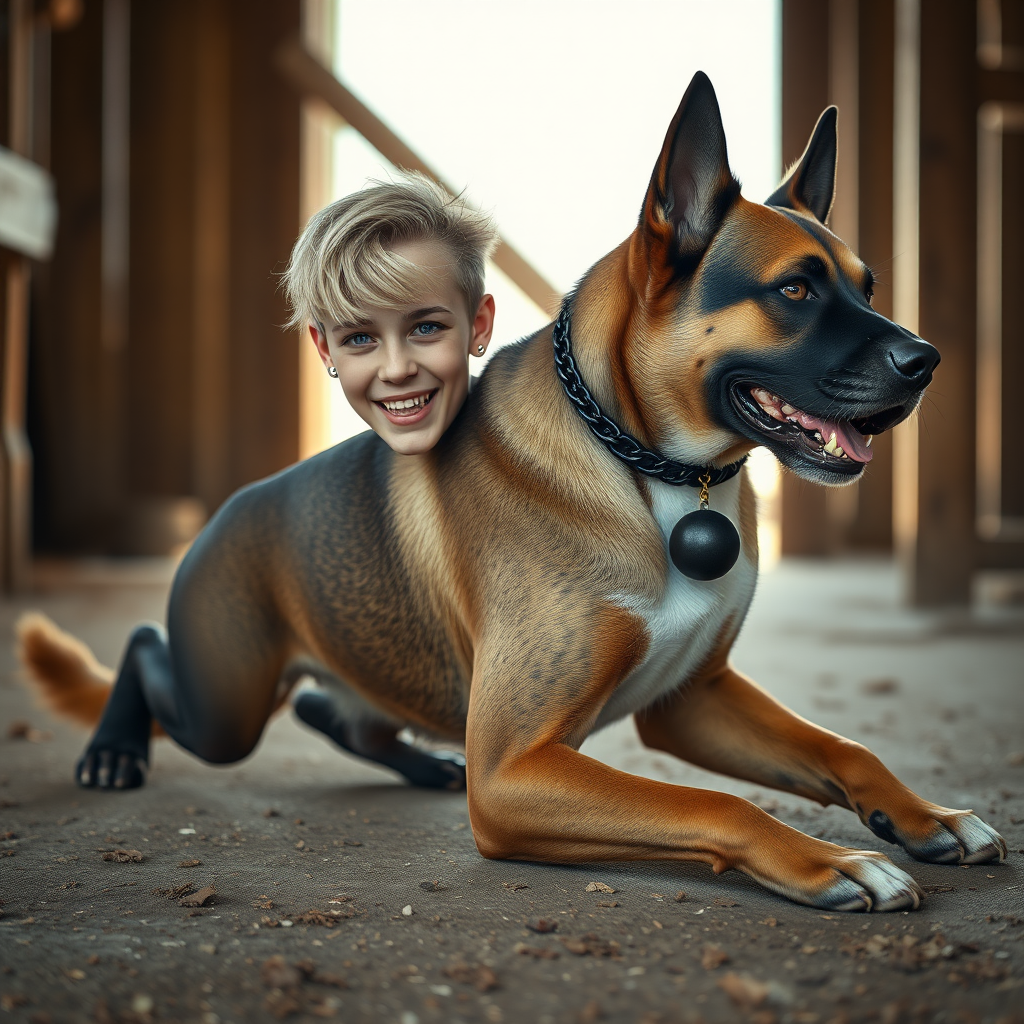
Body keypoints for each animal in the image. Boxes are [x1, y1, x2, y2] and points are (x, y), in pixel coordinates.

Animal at [18, 74, 1007, 913]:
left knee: (331, 709)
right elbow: (716, 807)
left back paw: (417, 762)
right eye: (795, 290)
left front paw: (923, 816)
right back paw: (112, 749)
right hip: (223, 703)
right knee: (149, 651)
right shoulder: (513, 772)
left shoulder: (693, 699)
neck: (644, 465)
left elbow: (843, 746)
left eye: (868, 287)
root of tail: (225, 510)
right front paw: (832, 860)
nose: (928, 362)